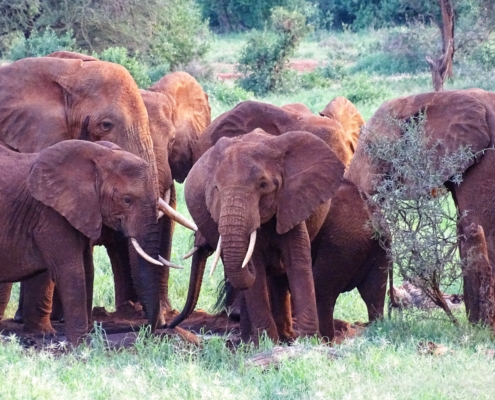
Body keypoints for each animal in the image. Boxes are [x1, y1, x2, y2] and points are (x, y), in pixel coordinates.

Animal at [0, 139, 161, 342]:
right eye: (127, 200)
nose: (147, 332)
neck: (101, 155)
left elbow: (87, 269)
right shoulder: (50, 214)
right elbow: (72, 271)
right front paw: (79, 344)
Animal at [344, 89, 495, 324]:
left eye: (372, 148)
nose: (394, 304)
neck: (428, 98)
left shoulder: (485, 162)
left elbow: (476, 225)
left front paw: (478, 326)